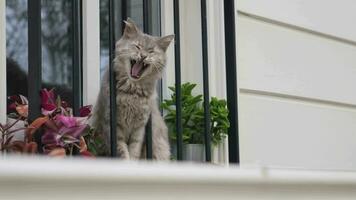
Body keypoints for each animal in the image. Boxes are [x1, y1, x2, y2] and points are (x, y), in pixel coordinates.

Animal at [92, 18, 174, 159]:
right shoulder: (112, 124)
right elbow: (122, 152)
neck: (132, 92)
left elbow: (134, 151)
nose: (143, 56)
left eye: (151, 51)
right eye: (138, 46)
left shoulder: (140, 128)